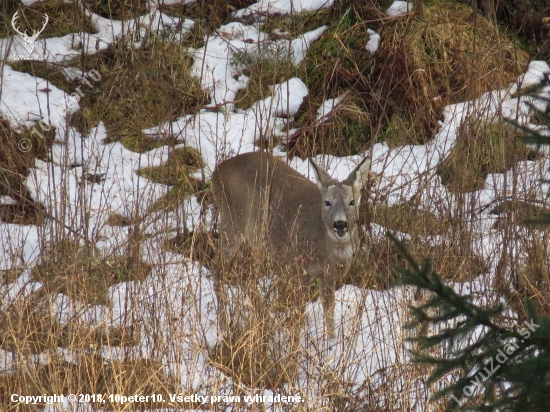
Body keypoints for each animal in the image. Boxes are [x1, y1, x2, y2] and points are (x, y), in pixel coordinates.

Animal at [210, 151, 370, 338]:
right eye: (327, 202)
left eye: (352, 201)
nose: (340, 224)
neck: (327, 251)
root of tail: (216, 172)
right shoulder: (297, 267)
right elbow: (298, 316)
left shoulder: (328, 277)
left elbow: (329, 312)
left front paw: (332, 341)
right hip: (234, 218)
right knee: (219, 266)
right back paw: (225, 327)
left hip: (255, 236)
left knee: (247, 275)